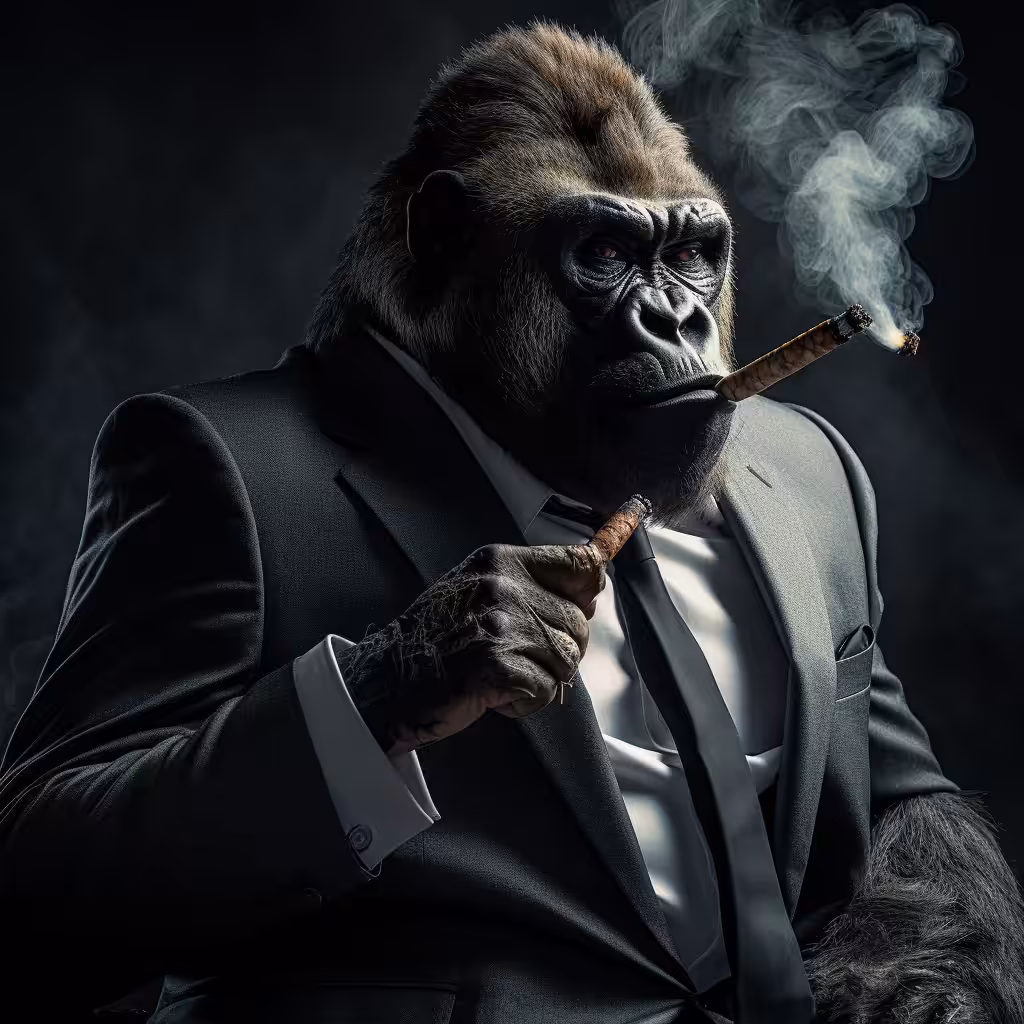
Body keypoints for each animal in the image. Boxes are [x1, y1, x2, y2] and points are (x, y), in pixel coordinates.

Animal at [1, 21, 1021, 1024]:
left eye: (693, 254)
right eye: (604, 254)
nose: (676, 320)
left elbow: (907, 796)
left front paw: (918, 991)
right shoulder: (182, 487)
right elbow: (59, 814)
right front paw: (448, 643)